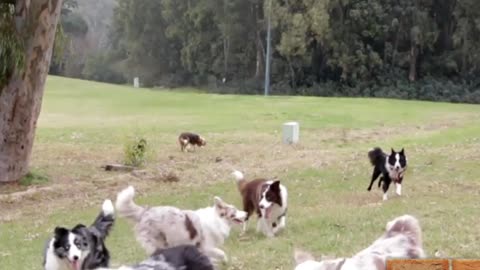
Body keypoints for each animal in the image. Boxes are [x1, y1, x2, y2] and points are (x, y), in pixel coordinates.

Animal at [114, 186, 246, 264]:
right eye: (234, 211)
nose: (246, 214)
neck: (217, 220)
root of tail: (145, 212)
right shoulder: (206, 246)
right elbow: (221, 253)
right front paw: (225, 261)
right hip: (158, 243)